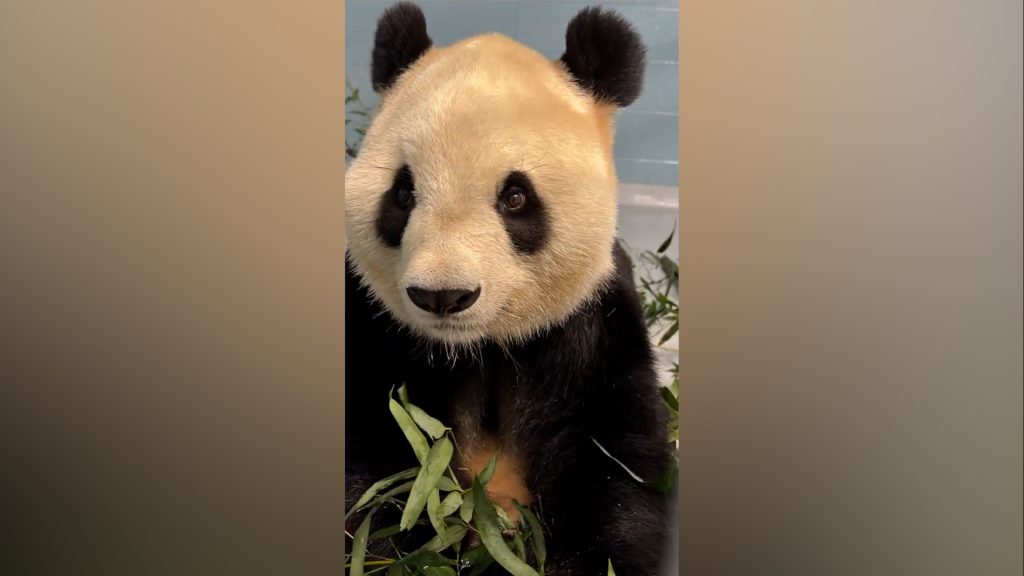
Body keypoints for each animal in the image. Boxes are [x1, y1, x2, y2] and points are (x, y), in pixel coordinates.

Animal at [345, 3, 672, 575]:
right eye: (403, 193)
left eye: (516, 197)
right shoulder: (377, 328)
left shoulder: (589, 322)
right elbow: (378, 468)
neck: (478, 348)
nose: (442, 296)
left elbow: (613, 462)